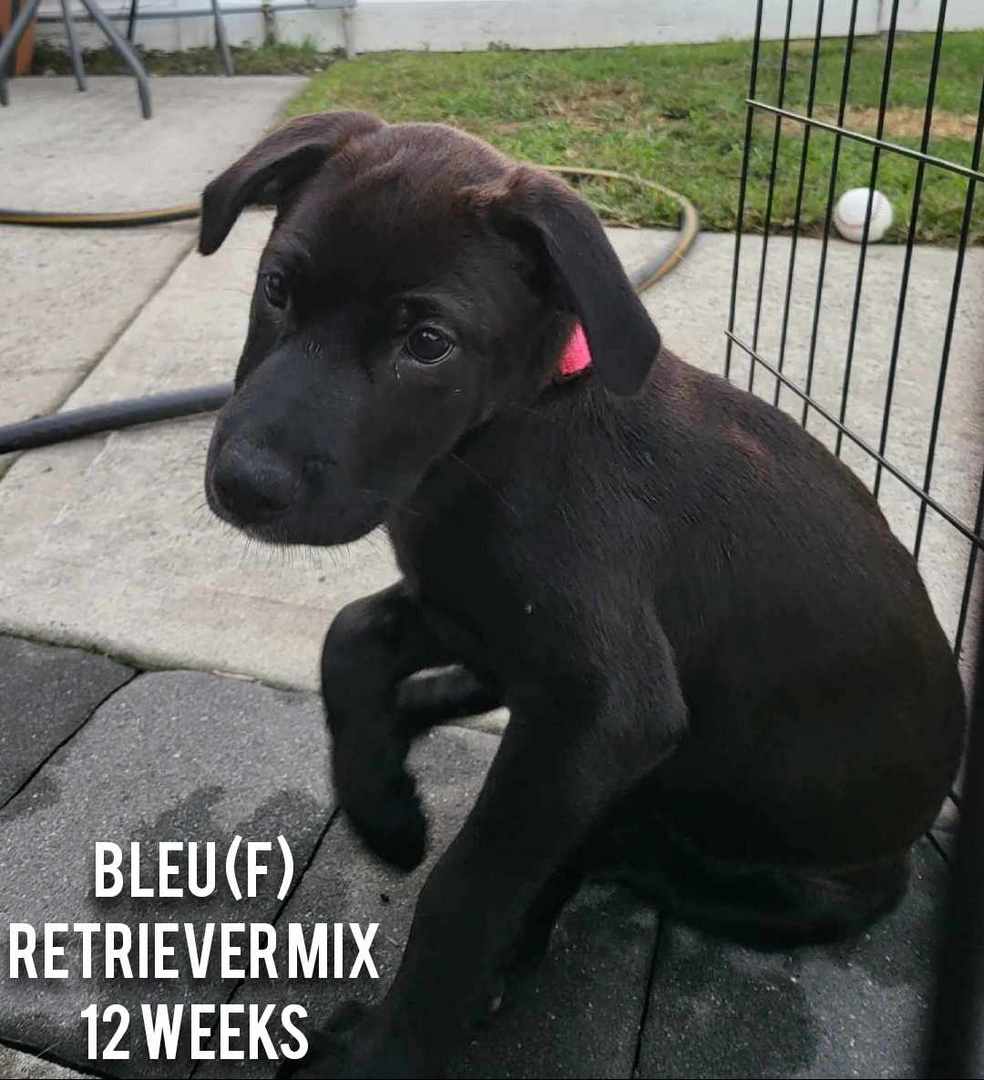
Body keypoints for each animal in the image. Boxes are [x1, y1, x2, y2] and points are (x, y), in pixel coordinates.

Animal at [197, 113, 963, 1075]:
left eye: (427, 343)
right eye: (275, 288)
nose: (242, 485)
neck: (498, 439)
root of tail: (905, 855)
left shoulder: (602, 709)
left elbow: (467, 889)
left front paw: (391, 1048)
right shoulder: (463, 597)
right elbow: (350, 632)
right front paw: (382, 808)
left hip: (724, 839)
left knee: (604, 843)